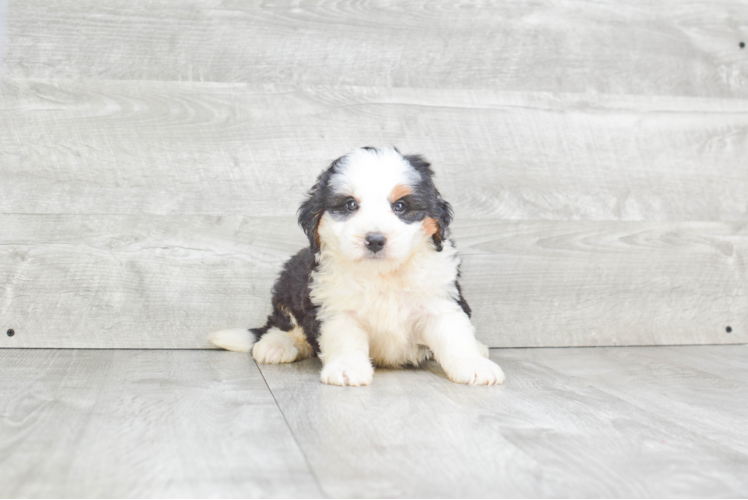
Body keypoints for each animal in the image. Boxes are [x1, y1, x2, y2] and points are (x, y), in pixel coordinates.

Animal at [209, 146, 508, 386]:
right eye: (350, 204)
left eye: (400, 206)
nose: (374, 240)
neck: (382, 274)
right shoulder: (336, 309)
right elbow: (345, 340)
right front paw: (346, 369)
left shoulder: (440, 301)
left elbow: (455, 337)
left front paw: (475, 366)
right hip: (289, 283)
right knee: (282, 325)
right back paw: (275, 345)